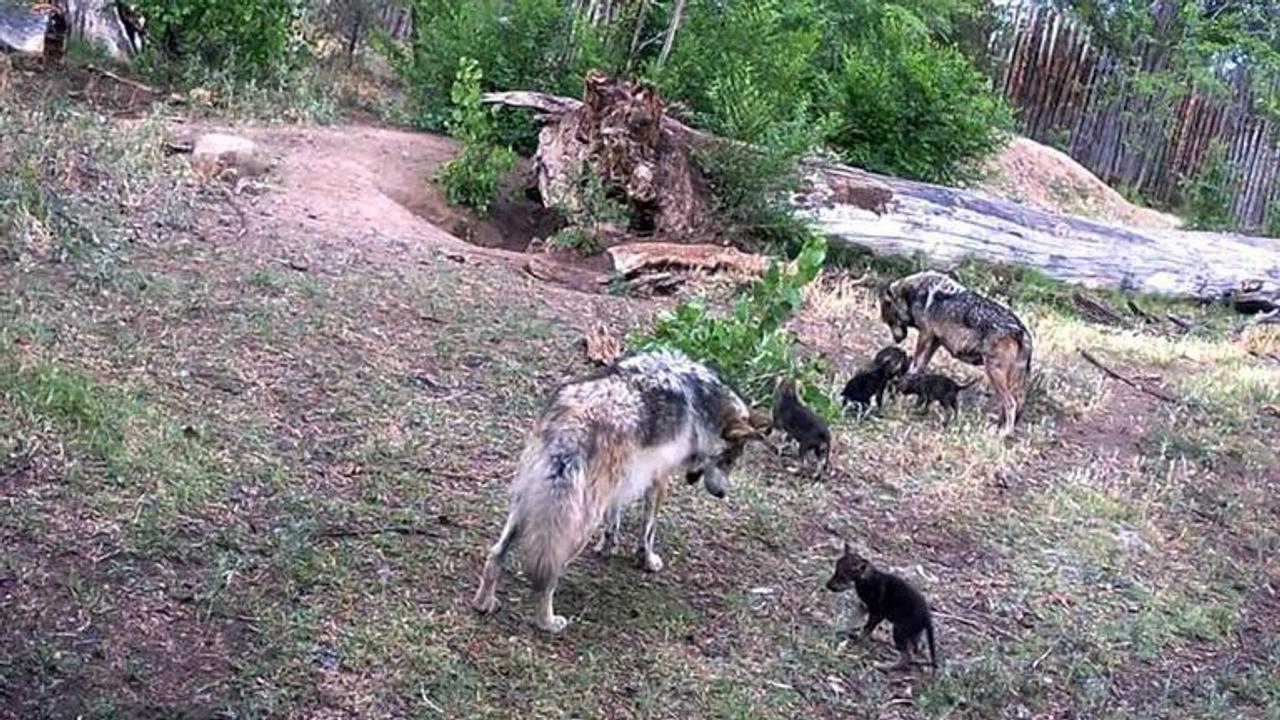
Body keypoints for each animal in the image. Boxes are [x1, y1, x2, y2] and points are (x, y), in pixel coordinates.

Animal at [476, 345, 762, 627]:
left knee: (495, 554)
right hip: (575, 524)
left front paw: (608, 547)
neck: (703, 402)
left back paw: (484, 603)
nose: (722, 493)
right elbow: (648, 532)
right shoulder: (659, 481)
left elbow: (614, 520)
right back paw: (548, 622)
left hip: (528, 505)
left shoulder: (619, 483)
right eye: (728, 461)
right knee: (548, 574)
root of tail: (575, 424)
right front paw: (647, 561)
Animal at [875, 270, 1034, 435]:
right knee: (1016, 403)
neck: (914, 292)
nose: (897, 340)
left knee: (1011, 404)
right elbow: (920, 367)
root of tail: (1022, 331)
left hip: (994, 373)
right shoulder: (935, 341)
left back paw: (1003, 433)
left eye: (889, 321)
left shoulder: (925, 336)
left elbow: (916, 364)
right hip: (1011, 381)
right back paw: (999, 428)